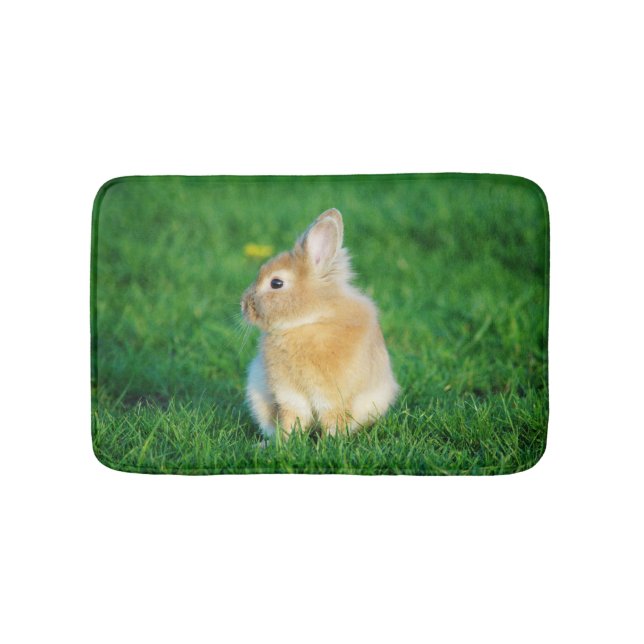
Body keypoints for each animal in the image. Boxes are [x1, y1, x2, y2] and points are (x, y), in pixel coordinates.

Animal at [241, 208, 399, 440]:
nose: (243, 305)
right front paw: (283, 442)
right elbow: (292, 417)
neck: (309, 320)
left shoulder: (332, 396)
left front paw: (331, 442)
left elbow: (332, 419)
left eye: (276, 283)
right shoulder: (289, 394)